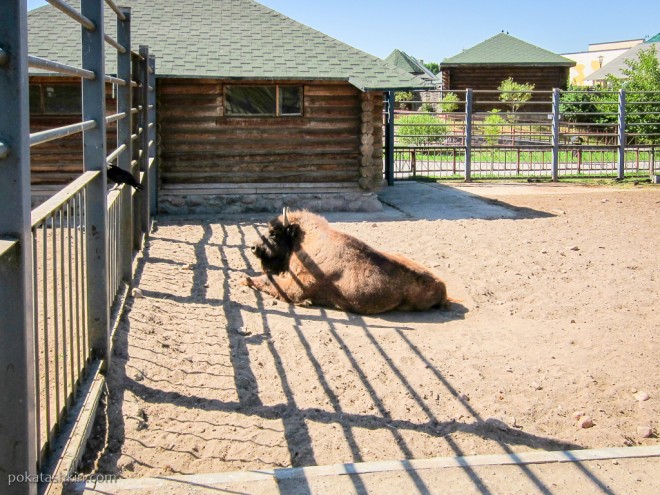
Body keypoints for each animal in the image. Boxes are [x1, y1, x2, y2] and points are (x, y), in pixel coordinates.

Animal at [242, 209, 454, 314]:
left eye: (274, 233)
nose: (254, 247)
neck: (302, 241)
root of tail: (442, 287)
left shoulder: (296, 287)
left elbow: (271, 281)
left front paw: (245, 279)